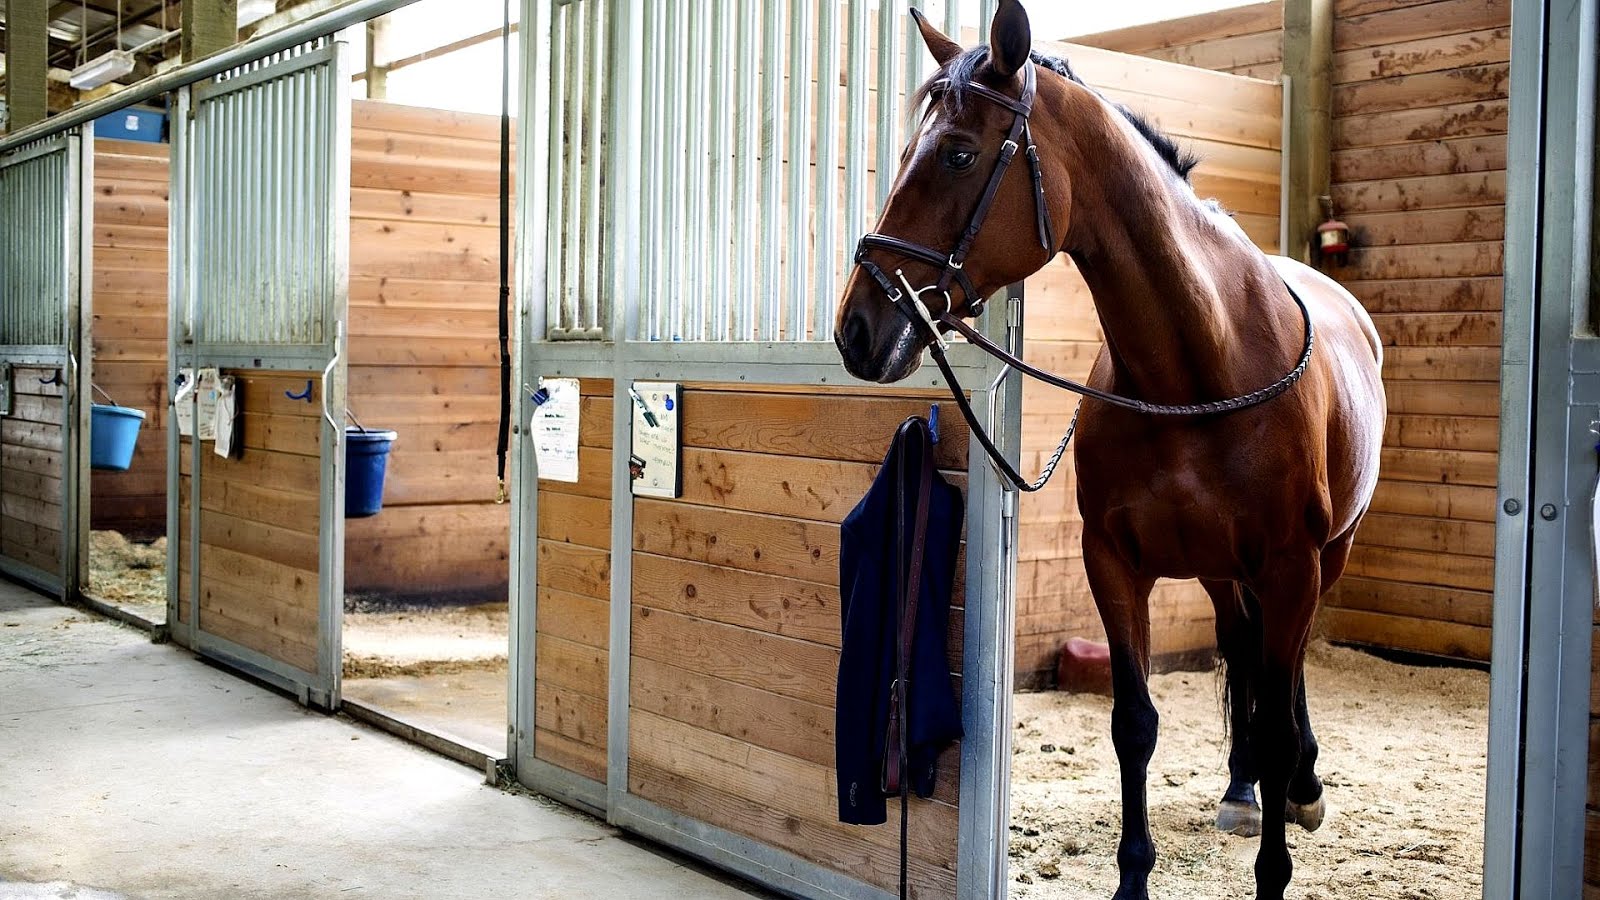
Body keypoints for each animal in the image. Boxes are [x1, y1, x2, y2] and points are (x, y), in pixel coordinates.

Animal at [832, 2, 1386, 898]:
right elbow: (1135, 724)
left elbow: (1272, 701)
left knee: (1287, 671)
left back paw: (1300, 786)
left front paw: (1276, 860)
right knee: (1244, 653)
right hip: (1221, 570)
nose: (857, 328)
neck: (1197, 370)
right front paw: (1135, 876)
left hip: (1322, 558)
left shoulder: (1290, 564)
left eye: (958, 153)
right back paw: (1242, 792)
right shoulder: (1114, 562)